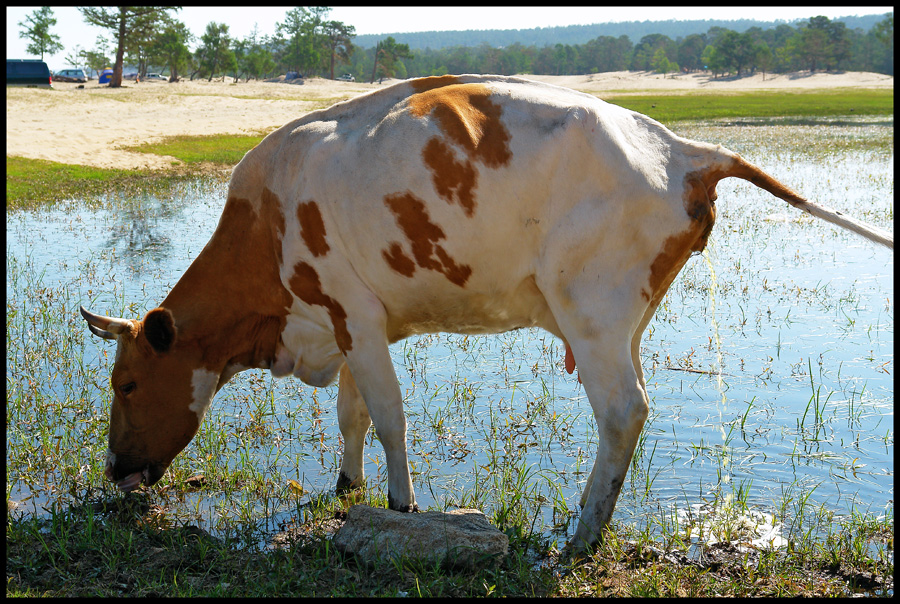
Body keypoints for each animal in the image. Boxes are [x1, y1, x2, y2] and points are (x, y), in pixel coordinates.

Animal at [79, 74, 892, 552]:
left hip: (591, 316)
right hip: (623, 323)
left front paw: (401, 505)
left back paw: (581, 537)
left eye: (126, 385)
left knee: (624, 412)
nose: (115, 467)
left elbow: (389, 417)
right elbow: (352, 416)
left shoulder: (355, 317)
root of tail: (679, 147)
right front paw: (345, 487)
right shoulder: (351, 322)